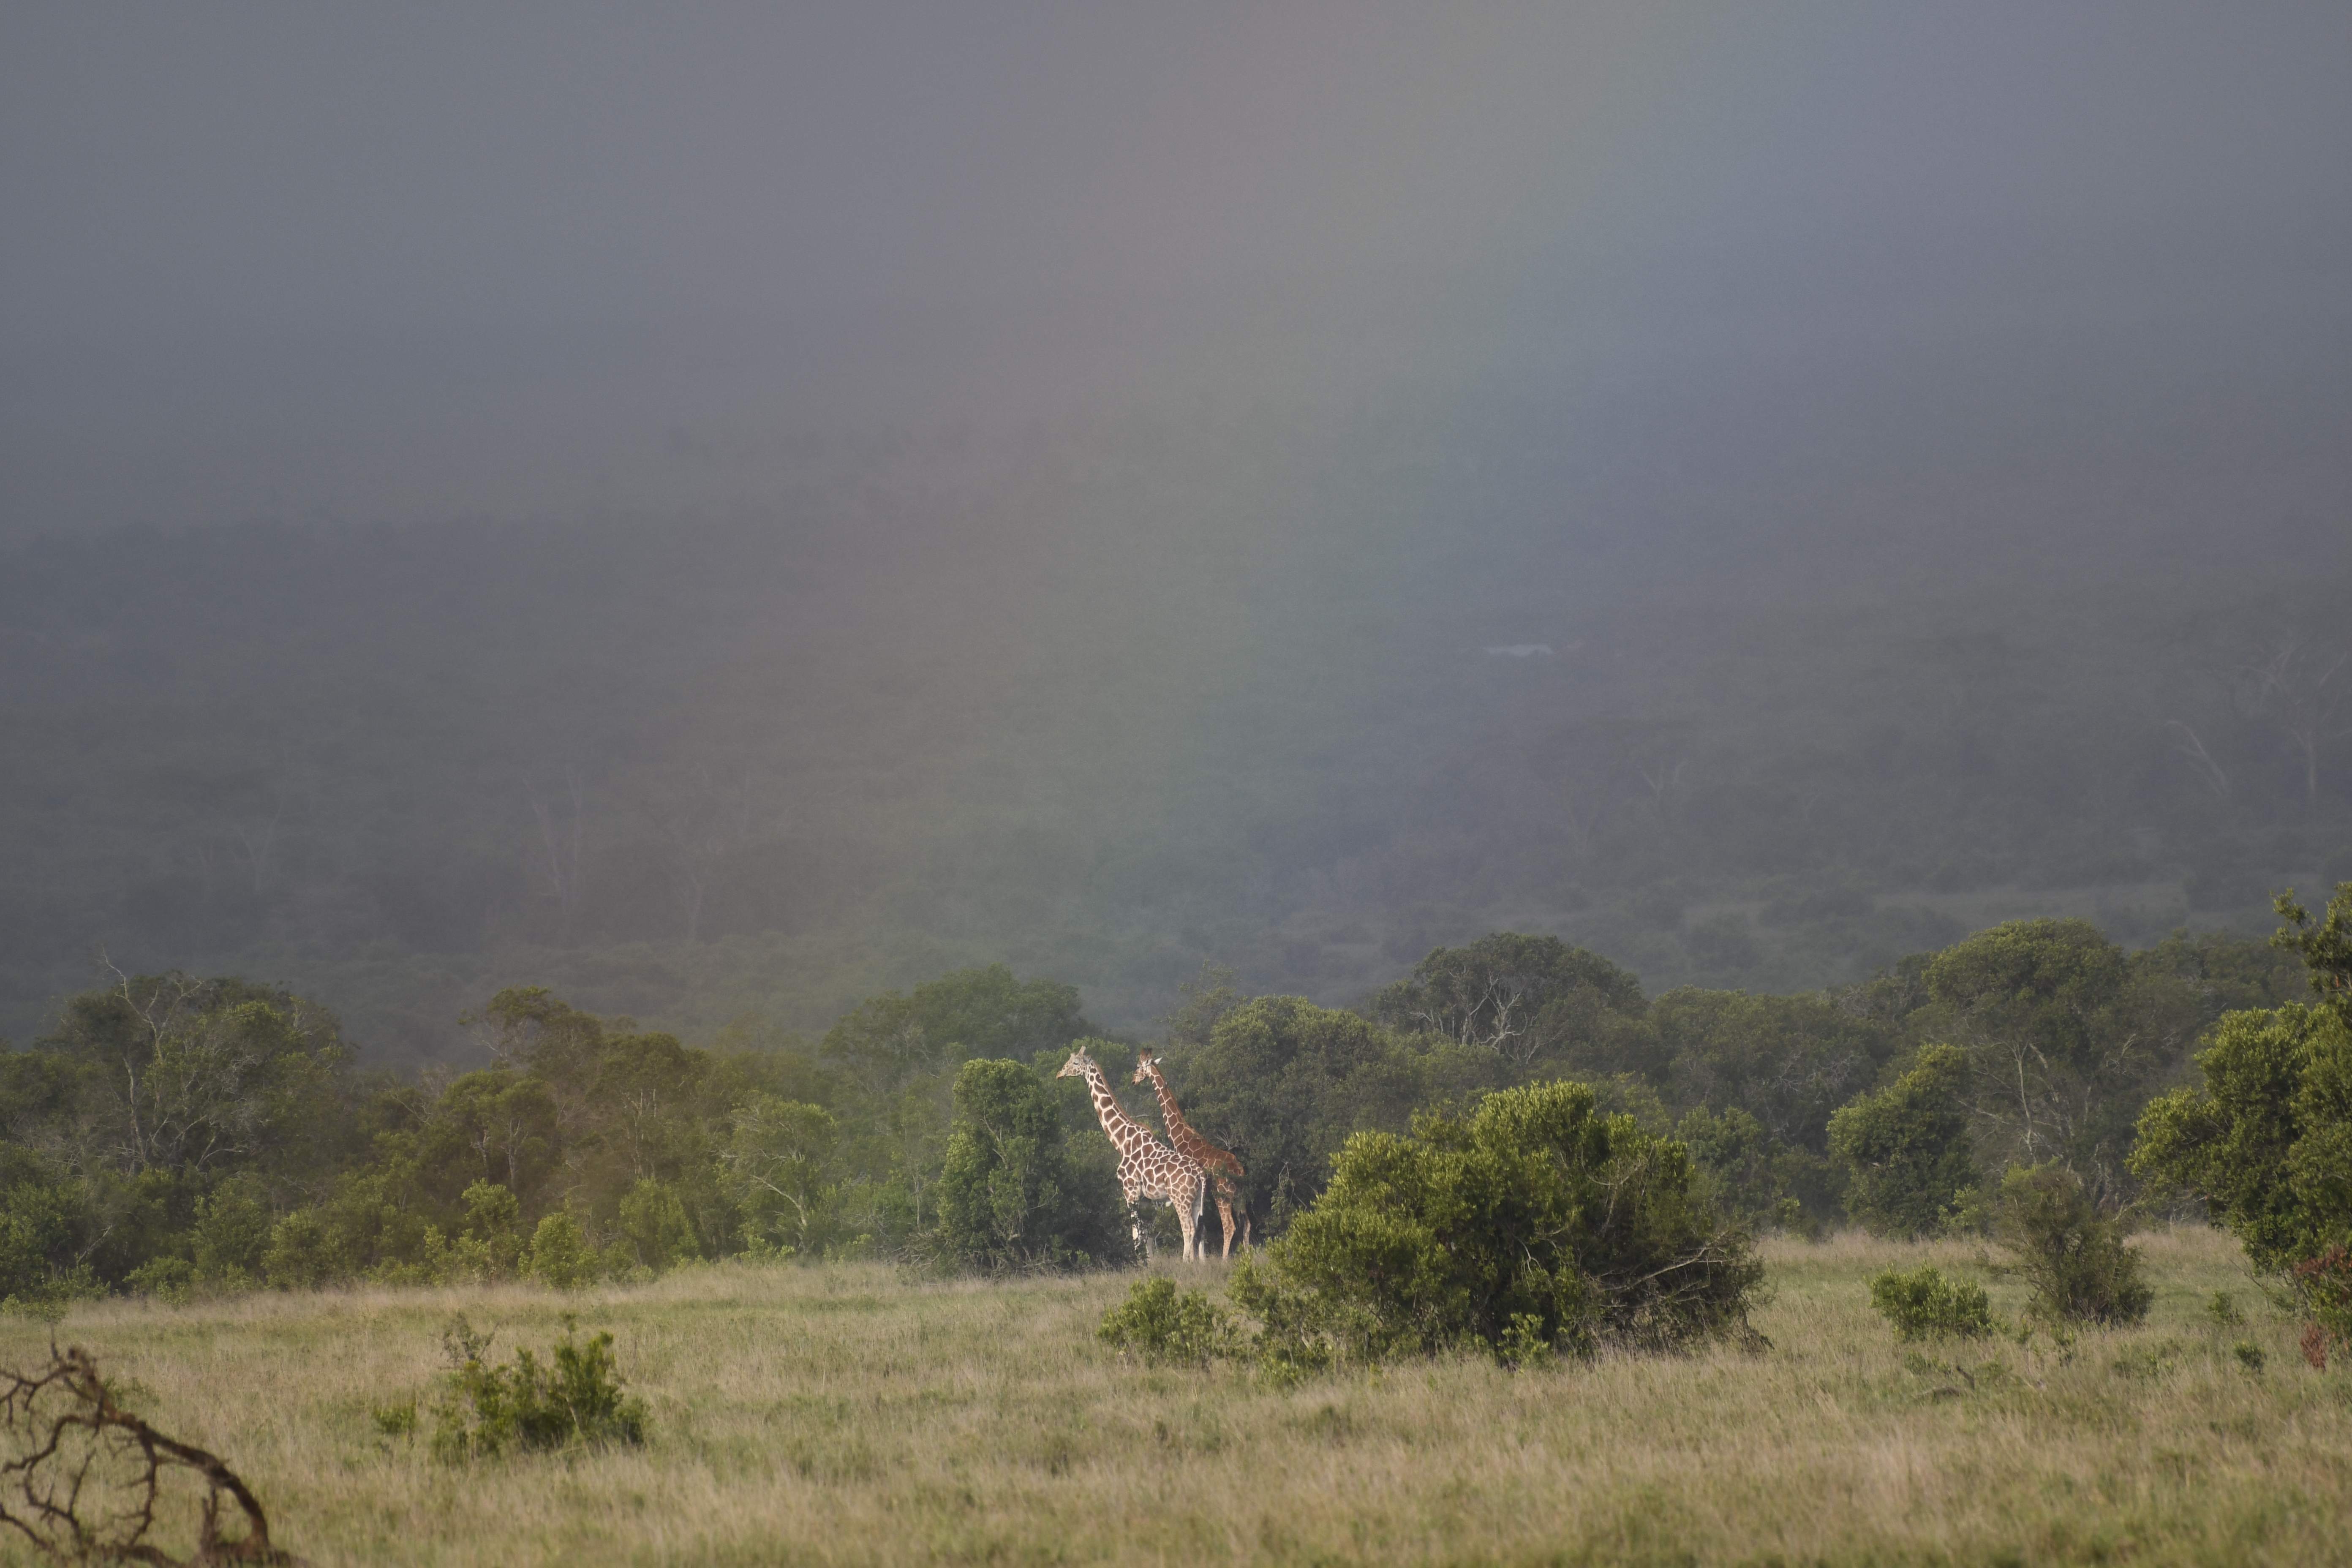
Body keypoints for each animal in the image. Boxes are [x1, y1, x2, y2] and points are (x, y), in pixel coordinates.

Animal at [1056, 1046, 1208, 1261]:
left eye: (1076, 1063)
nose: (1060, 1074)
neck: (1121, 1142)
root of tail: (1201, 1174)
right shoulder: (1146, 1199)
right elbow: (1147, 1236)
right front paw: (1150, 1263)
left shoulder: (1130, 1191)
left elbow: (1135, 1234)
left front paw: (1139, 1264)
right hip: (1197, 1201)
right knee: (1200, 1229)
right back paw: (1199, 1263)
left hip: (1181, 1199)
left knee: (1188, 1229)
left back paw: (1186, 1262)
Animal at [1133, 1048, 1250, 1258]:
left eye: (1139, 1067)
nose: (1134, 1081)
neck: (1182, 1135)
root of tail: (1239, 1172)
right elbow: (1201, 1229)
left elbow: (1196, 1228)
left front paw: (1195, 1259)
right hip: (1240, 1197)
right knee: (1247, 1225)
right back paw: (1248, 1257)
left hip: (1223, 1196)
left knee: (1230, 1226)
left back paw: (1224, 1260)